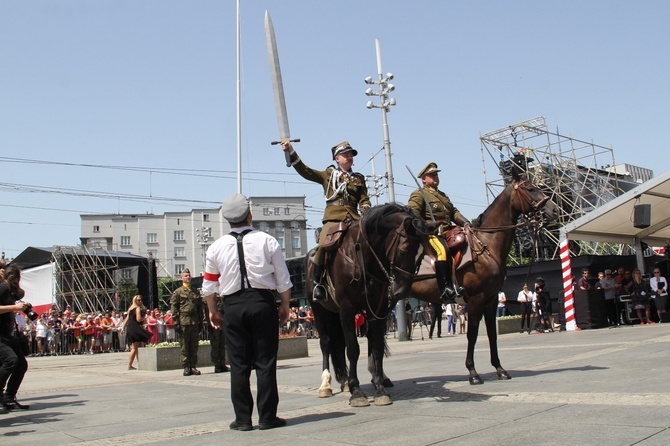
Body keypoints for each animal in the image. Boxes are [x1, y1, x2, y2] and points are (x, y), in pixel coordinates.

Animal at [310, 204, 430, 406]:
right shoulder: (347, 309)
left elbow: (377, 347)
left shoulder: (377, 310)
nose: (401, 292)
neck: (364, 257)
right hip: (319, 311)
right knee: (326, 343)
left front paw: (380, 388)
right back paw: (325, 384)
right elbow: (353, 348)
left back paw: (345, 382)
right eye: (404, 249)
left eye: (421, 255)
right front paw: (357, 391)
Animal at [412, 174, 560, 384]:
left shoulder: (491, 299)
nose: (554, 210)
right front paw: (473, 372)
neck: (487, 244)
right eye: (530, 189)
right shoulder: (476, 298)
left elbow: (491, 333)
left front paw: (499, 368)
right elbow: (472, 333)